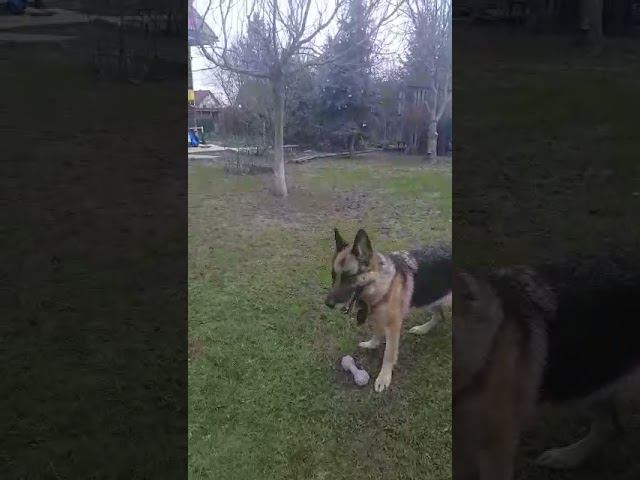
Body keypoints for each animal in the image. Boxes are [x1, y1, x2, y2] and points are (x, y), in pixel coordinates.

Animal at [324, 228, 452, 392]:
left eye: (349, 277)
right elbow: (377, 333)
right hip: (430, 298)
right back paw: (423, 329)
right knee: (439, 316)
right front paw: (372, 344)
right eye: (333, 276)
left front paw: (384, 378)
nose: (327, 304)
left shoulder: (393, 327)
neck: (379, 282)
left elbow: (388, 354)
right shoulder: (377, 315)